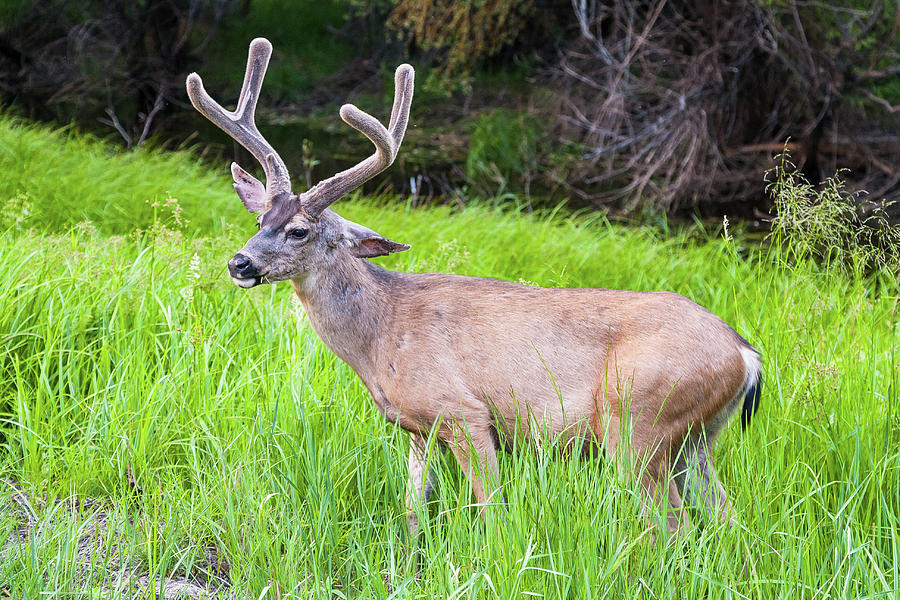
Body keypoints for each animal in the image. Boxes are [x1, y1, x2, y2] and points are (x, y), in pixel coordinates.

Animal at [188, 36, 760, 536]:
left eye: (299, 230)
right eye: (259, 218)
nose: (240, 263)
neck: (381, 336)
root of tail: (744, 353)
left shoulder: (466, 413)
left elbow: (494, 514)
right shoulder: (417, 430)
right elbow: (412, 512)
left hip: (638, 420)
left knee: (672, 527)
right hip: (696, 440)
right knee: (728, 521)